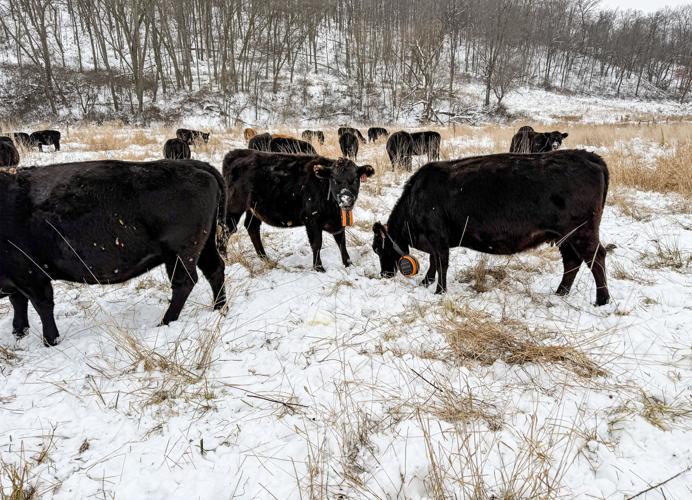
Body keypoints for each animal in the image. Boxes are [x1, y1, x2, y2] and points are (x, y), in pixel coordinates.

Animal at [0, 159, 229, 346]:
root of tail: (194, 165)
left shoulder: (32, 276)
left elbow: (42, 306)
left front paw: (49, 341)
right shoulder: (16, 282)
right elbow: (19, 304)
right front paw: (19, 332)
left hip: (180, 253)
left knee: (184, 282)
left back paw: (166, 322)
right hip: (203, 247)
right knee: (214, 270)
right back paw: (219, 308)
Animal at [223, 149, 375, 271]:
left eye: (355, 179)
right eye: (334, 179)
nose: (346, 199)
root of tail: (237, 153)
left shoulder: (338, 223)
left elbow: (341, 241)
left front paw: (348, 263)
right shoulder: (311, 220)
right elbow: (317, 243)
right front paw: (319, 268)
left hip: (253, 208)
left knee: (252, 227)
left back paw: (265, 258)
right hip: (234, 206)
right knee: (226, 230)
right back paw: (225, 259)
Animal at [371, 149, 610, 305]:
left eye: (377, 248)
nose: (385, 274)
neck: (416, 198)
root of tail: (589, 156)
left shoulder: (437, 238)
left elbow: (441, 264)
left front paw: (439, 291)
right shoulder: (436, 241)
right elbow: (433, 263)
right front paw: (426, 283)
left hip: (581, 232)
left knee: (595, 258)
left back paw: (602, 300)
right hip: (565, 237)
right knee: (572, 261)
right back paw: (560, 293)